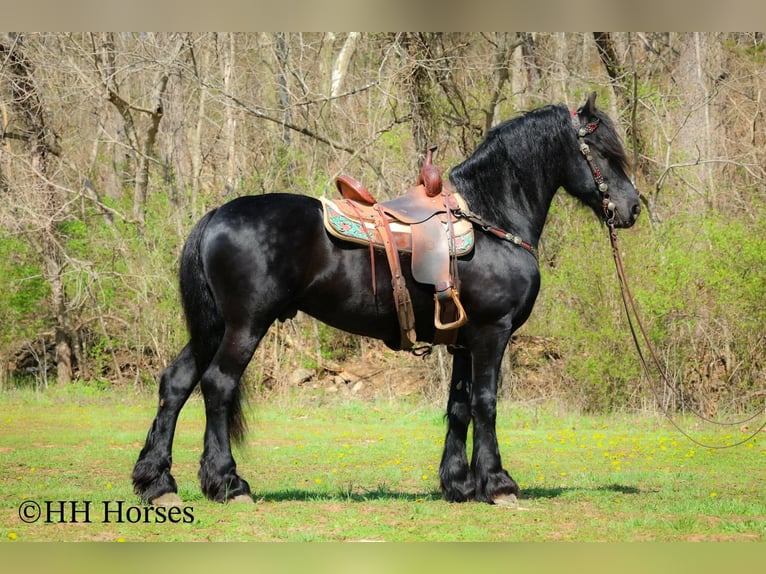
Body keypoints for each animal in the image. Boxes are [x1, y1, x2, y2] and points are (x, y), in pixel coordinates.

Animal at [132, 92, 641, 506]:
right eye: (601, 150)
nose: (633, 207)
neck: (490, 219)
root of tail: (218, 213)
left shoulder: (462, 341)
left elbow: (459, 406)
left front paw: (458, 485)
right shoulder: (491, 334)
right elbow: (486, 402)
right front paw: (498, 485)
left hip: (212, 326)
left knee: (177, 382)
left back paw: (158, 483)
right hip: (245, 325)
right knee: (218, 384)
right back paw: (228, 483)